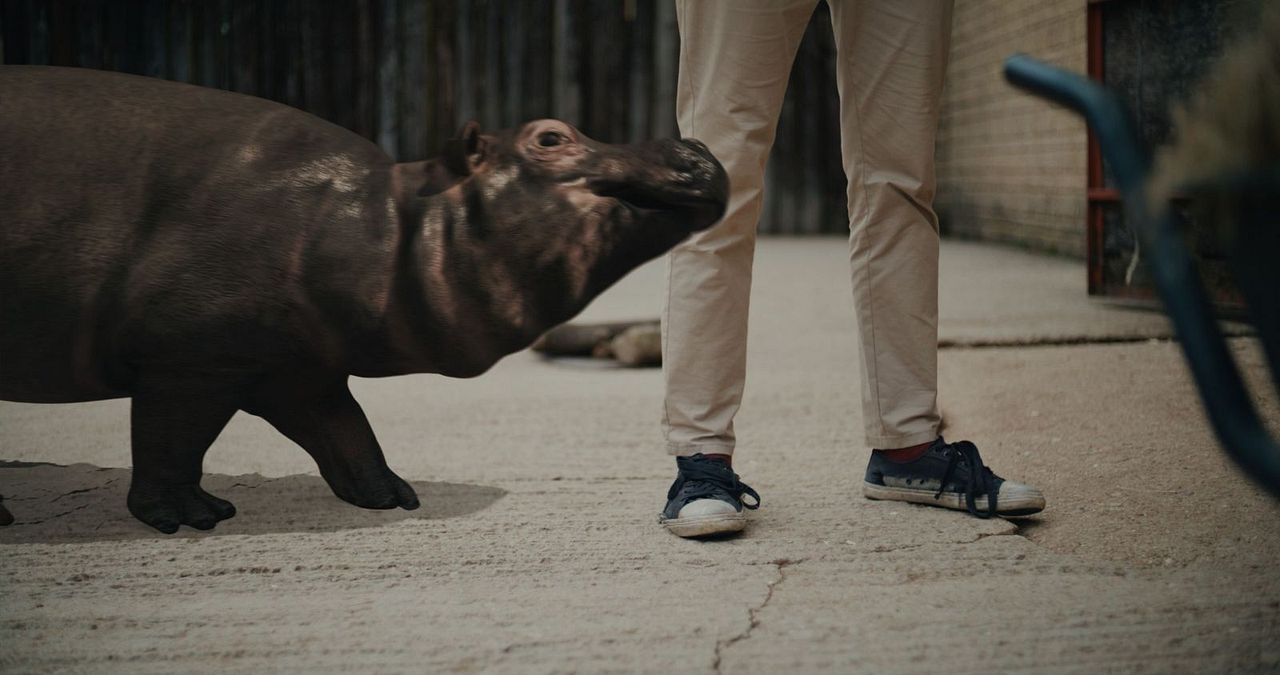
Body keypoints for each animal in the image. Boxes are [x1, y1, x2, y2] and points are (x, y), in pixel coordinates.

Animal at [0, 66, 728, 533]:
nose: (693, 143)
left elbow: (348, 431)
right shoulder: (189, 361)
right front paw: (193, 520)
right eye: (549, 136)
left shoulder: (299, 368)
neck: (396, 218)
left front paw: (396, 497)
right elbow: (171, 439)